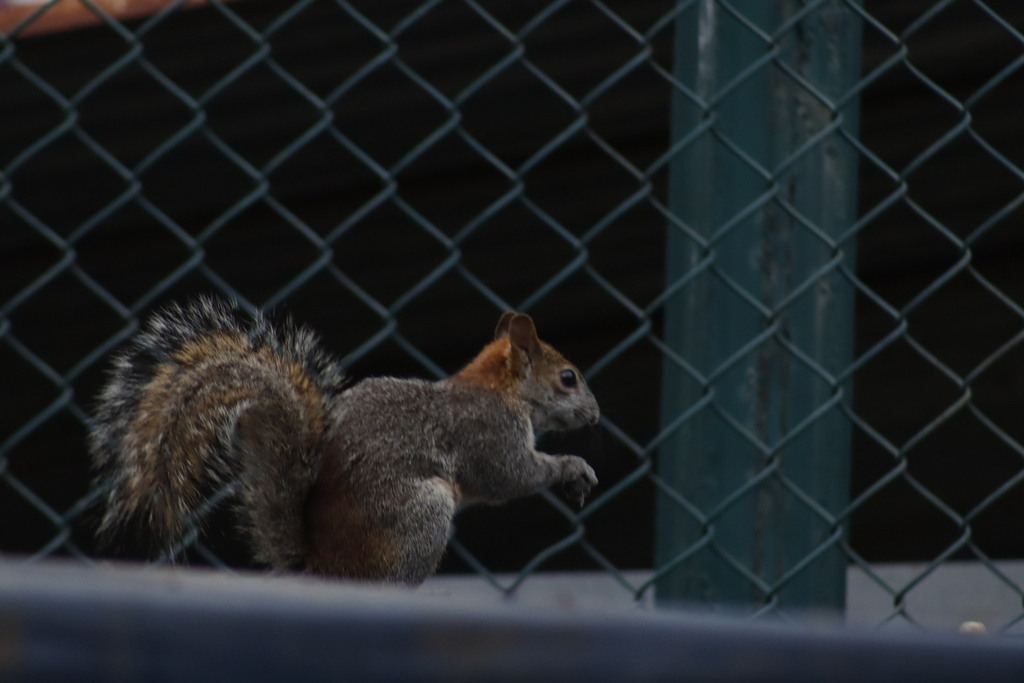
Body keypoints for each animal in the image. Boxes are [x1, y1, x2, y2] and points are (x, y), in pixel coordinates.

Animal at [90, 296, 598, 585]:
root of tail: (322, 566)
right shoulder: (489, 433)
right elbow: (512, 475)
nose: (595, 414)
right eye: (568, 378)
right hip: (420, 516)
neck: (499, 388)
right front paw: (571, 467)